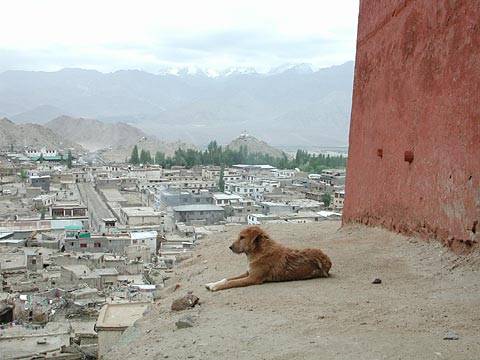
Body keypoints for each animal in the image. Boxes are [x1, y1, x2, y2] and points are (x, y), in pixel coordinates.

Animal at [204, 225, 332, 292]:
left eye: (242, 237)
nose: (230, 247)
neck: (260, 252)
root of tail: (326, 258)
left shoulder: (252, 278)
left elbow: (231, 282)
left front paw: (216, 286)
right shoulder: (248, 273)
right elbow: (227, 279)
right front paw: (212, 283)